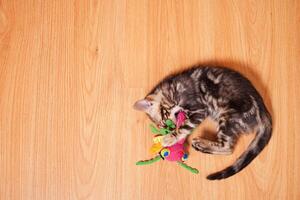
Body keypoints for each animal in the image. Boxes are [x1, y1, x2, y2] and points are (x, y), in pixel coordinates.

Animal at [134, 65, 272, 180]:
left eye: (166, 122)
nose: (172, 127)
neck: (173, 88)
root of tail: (264, 111)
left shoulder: (199, 109)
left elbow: (184, 127)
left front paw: (169, 138)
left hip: (228, 117)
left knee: (228, 148)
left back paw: (201, 143)